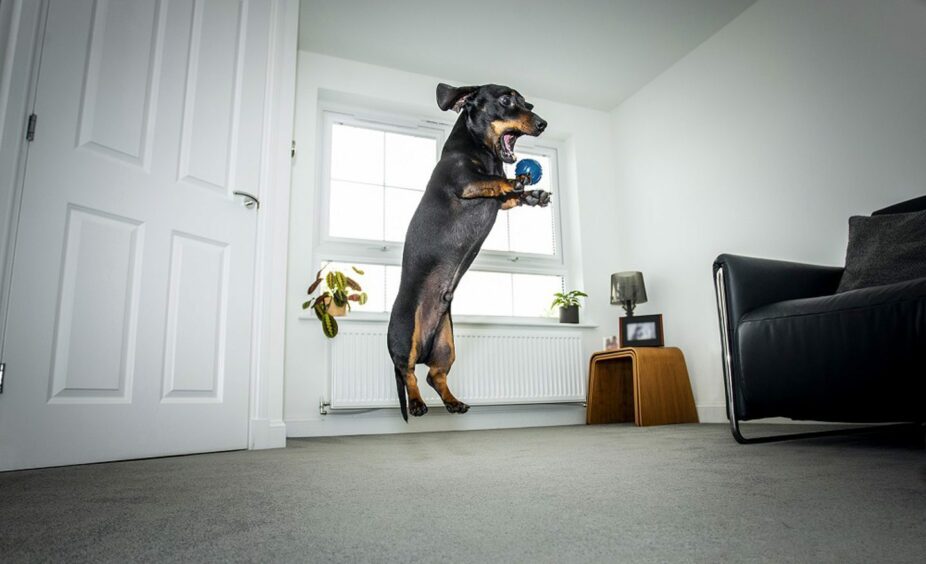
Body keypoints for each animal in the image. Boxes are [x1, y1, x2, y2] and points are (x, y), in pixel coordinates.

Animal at [386, 82, 548, 418]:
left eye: (527, 102)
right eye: (506, 99)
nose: (542, 124)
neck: (481, 150)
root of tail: (425, 344)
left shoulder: (498, 200)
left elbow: (509, 195)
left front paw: (533, 194)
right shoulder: (467, 182)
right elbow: (497, 180)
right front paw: (517, 180)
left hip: (446, 344)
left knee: (434, 375)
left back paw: (452, 402)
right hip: (405, 332)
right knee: (408, 372)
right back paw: (417, 404)